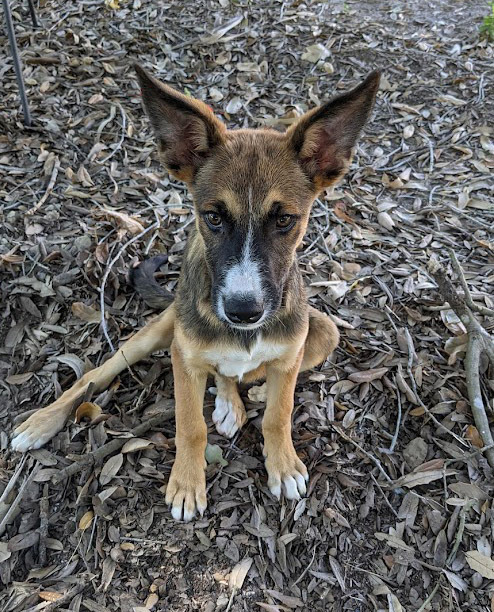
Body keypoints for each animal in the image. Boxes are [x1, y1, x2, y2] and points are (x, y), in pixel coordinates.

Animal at [12, 63, 382, 520]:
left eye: (285, 220)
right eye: (213, 217)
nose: (243, 311)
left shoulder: (290, 350)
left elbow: (278, 414)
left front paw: (281, 462)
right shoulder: (183, 359)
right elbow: (191, 426)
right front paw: (188, 483)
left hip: (322, 331)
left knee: (244, 375)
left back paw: (245, 394)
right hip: (160, 334)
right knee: (97, 376)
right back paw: (41, 422)